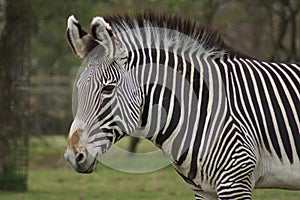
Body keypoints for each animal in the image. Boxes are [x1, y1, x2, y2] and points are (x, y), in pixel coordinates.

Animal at [63, 12, 300, 200]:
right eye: (78, 89)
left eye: (107, 89)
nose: (73, 156)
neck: (201, 106)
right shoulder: (204, 190)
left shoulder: (236, 181)